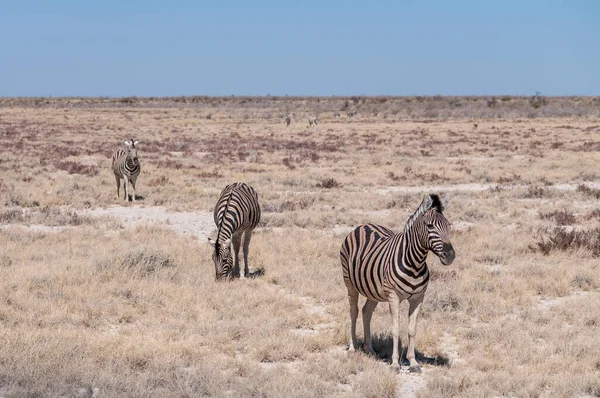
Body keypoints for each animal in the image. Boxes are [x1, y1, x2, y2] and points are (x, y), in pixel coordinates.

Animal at [342, 193, 454, 374]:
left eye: (448, 225)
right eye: (430, 226)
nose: (450, 256)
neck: (415, 263)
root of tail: (364, 225)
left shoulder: (418, 298)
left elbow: (412, 329)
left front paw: (413, 362)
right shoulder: (393, 297)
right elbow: (395, 329)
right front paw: (395, 363)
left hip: (373, 289)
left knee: (366, 311)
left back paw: (369, 349)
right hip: (350, 283)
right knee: (354, 311)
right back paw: (353, 348)